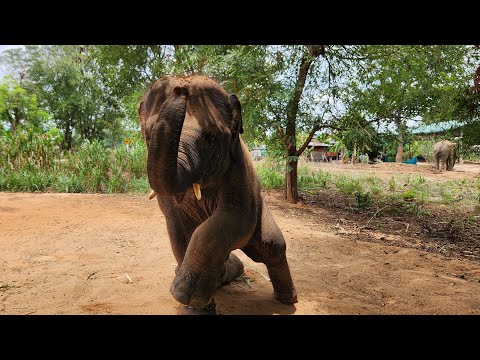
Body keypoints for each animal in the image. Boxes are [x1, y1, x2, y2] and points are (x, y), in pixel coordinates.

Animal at [139, 74, 296, 308]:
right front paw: (196, 305)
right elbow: (177, 229)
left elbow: (235, 218)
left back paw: (287, 300)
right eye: (148, 136)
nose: (180, 89)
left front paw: (184, 295)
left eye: (210, 138)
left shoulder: (239, 166)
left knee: (271, 247)